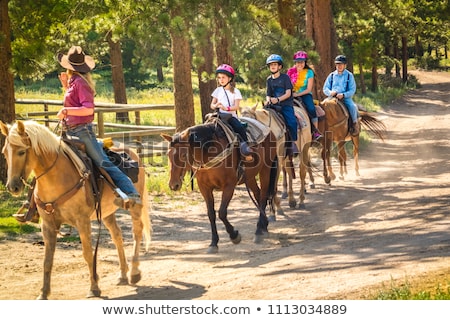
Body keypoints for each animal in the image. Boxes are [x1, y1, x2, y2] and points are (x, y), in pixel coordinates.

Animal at [0, 120, 151, 300]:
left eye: (22, 152)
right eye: (4, 152)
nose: (12, 187)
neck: (57, 178)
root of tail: (133, 152)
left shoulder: (82, 221)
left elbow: (87, 254)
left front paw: (94, 288)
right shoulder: (48, 225)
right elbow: (47, 260)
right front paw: (43, 293)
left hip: (135, 206)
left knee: (137, 232)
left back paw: (134, 272)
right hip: (107, 213)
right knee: (117, 235)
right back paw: (122, 274)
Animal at [160, 119, 280, 254]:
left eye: (183, 155)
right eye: (168, 154)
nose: (173, 184)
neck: (209, 154)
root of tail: (268, 130)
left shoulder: (229, 185)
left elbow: (222, 213)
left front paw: (234, 236)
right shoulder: (204, 188)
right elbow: (211, 214)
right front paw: (213, 243)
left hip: (266, 170)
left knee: (264, 196)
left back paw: (259, 231)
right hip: (249, 177)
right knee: (258, 195)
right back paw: (264, 227)